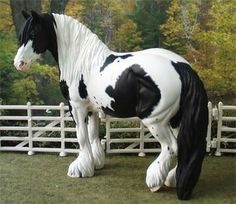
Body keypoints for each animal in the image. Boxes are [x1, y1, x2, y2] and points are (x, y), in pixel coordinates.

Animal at [13, 10, 207, 200]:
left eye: (33, 34)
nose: (19, 63)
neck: (81, 60)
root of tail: (180, 67)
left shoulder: (77, 107)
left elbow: (82, 137)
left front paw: (80, 169)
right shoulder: (91, 109)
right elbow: (92, 135)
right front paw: (95, 163)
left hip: (155, 121)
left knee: (171, 147)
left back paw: (154, 181)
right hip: (176, 119)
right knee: (182, 146)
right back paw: (171, 179)